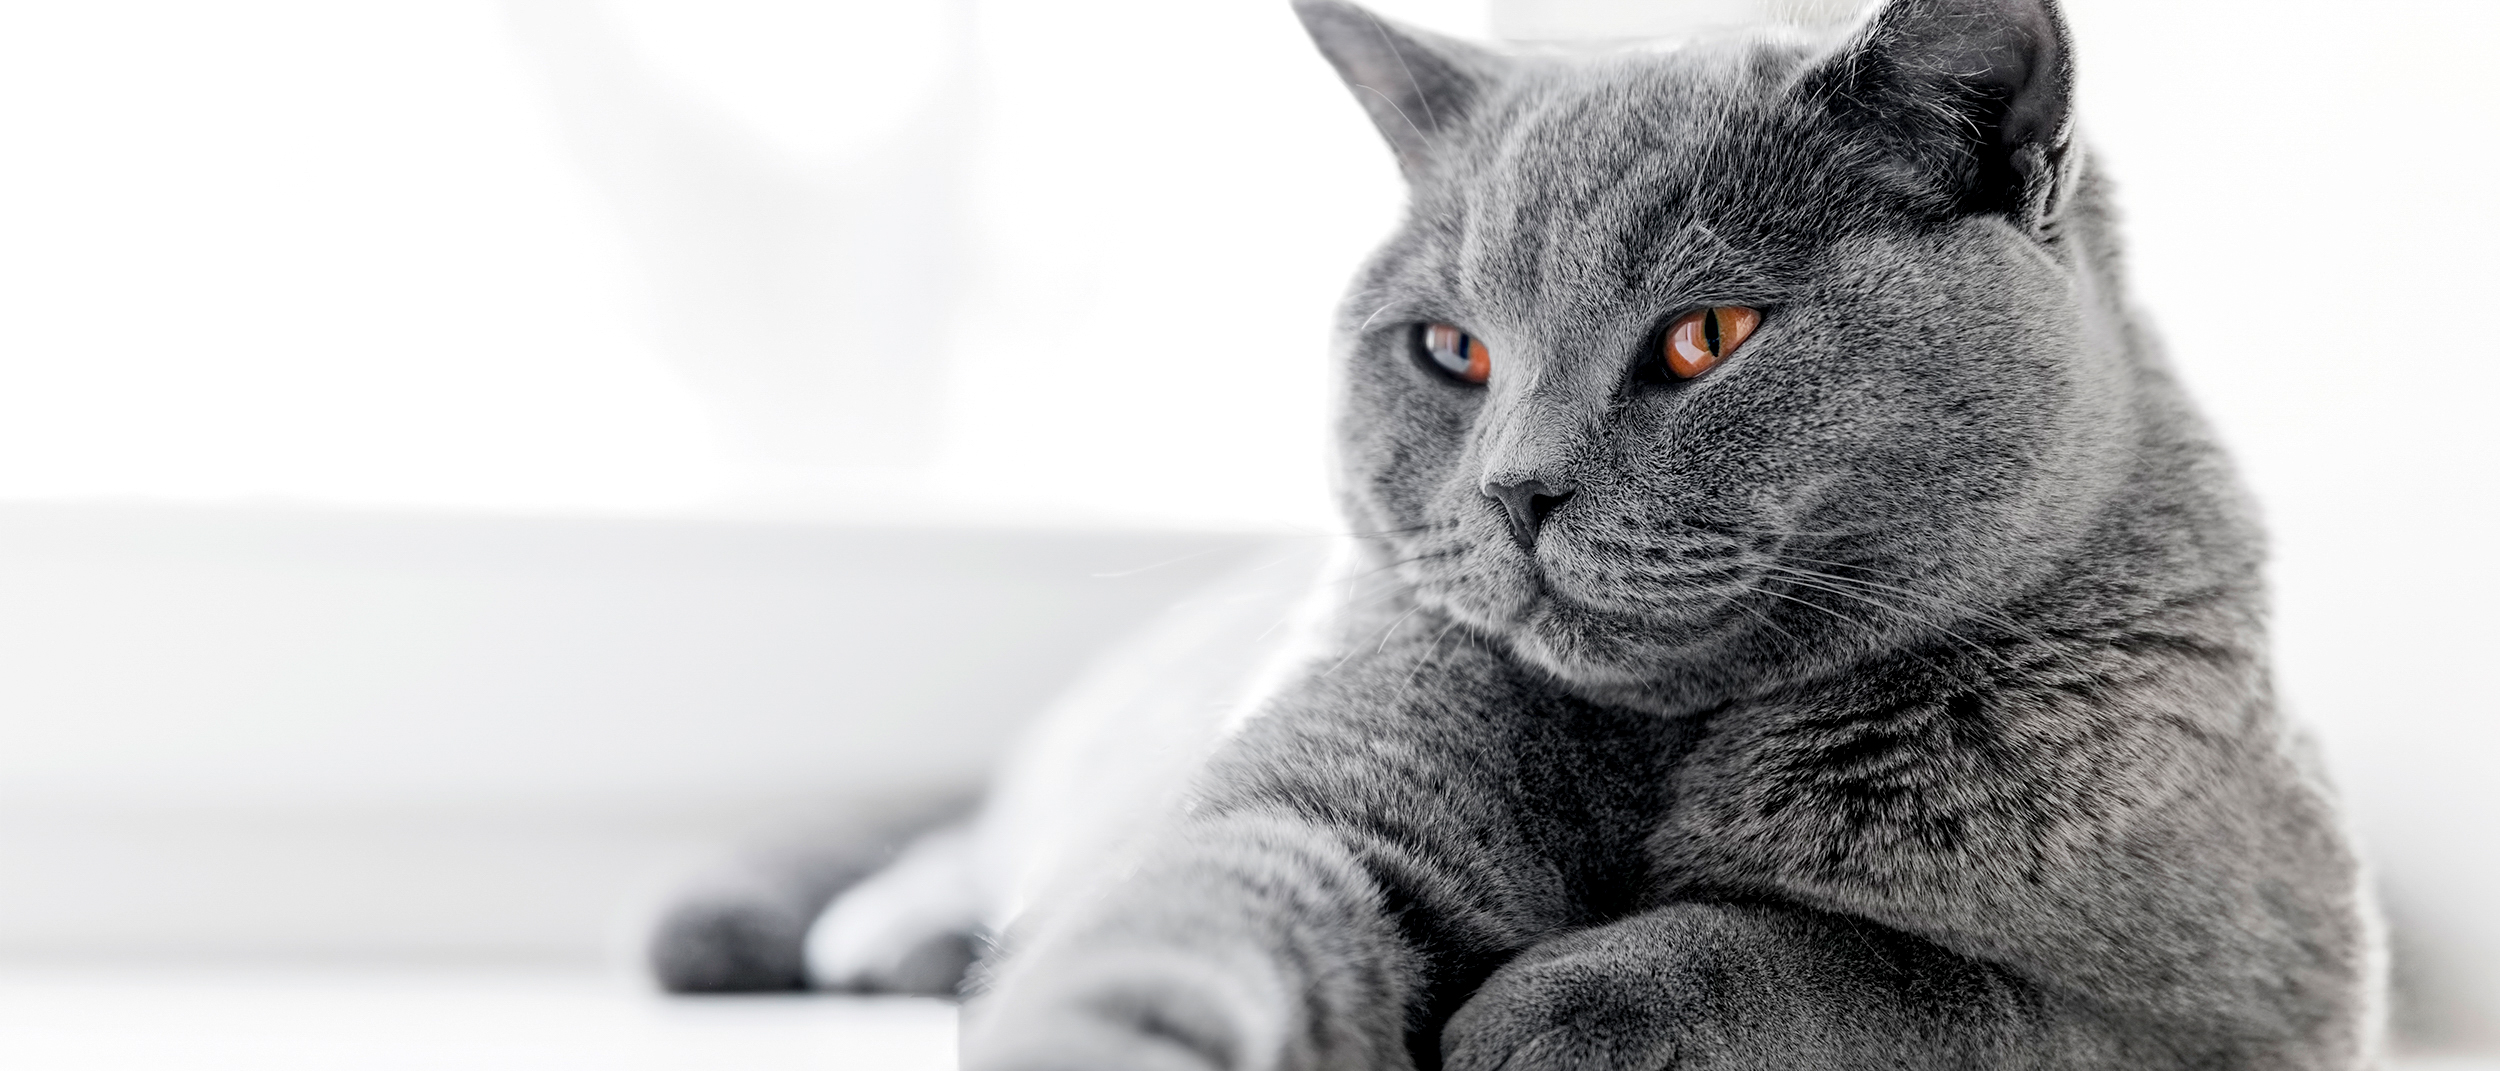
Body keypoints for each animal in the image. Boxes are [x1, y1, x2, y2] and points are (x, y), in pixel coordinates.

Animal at [655, 0, 2370, 1065]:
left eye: (1706, 336)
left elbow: (1906, 973)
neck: (1662, 741)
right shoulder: (1291, 805)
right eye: (1452, 350)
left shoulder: (2241, 1010)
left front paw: (1552, 1001)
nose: (1514, 487)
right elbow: (1180, 913)